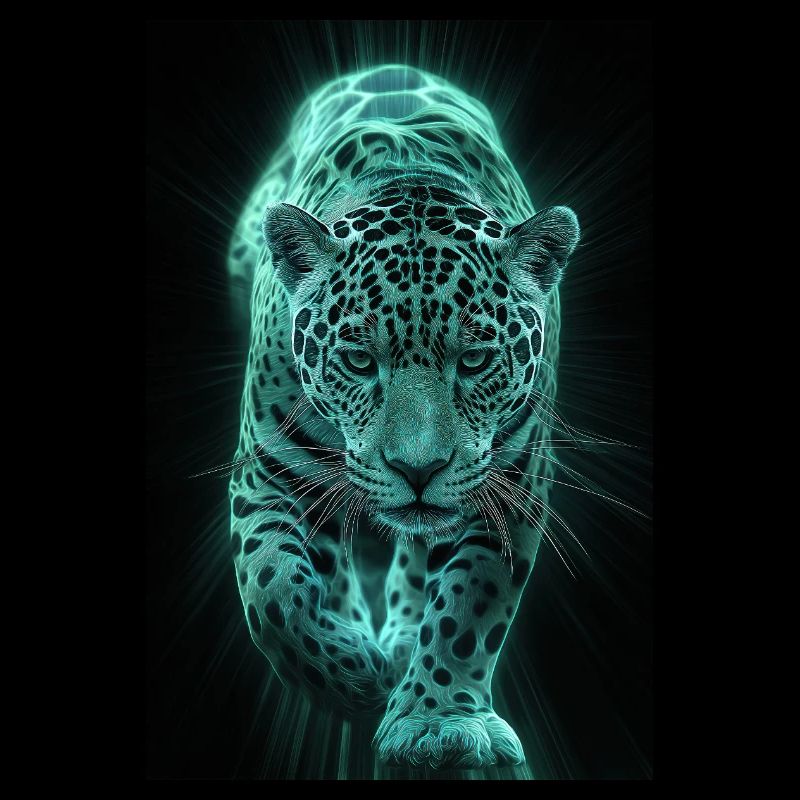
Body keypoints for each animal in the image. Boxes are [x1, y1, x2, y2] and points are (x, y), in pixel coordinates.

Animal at [226, 64, 580, 770]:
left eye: (474, 359)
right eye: (360, 359)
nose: (418, 470)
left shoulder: (512, 484)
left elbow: (471, 603)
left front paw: (436, 719)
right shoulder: (269, 470)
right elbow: (273, 587)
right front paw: (354, 681)